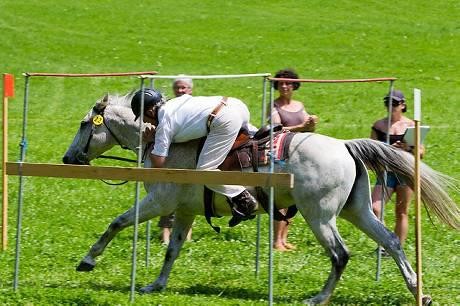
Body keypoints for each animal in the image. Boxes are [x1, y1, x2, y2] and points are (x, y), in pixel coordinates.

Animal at [63, 92, 460, 304]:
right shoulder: (185, 211)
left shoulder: (160, 203)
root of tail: (345, 146)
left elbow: (116, 223)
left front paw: (88, 260)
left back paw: (319, 297)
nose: (68, 158)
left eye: (85, 124)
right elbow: (172, 250)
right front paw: (155, 285)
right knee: (391, 241)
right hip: (357, 211)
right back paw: (418, 291)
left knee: (340, 254)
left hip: (320, 216)